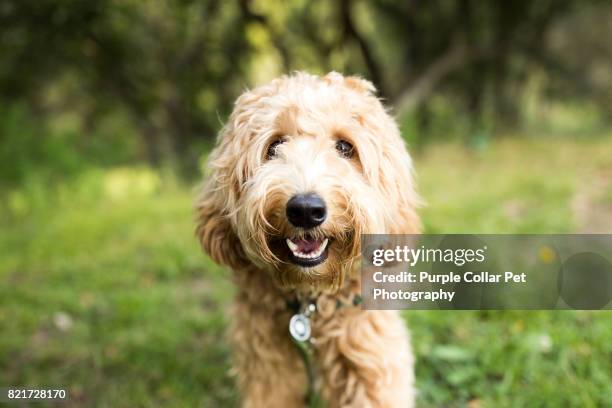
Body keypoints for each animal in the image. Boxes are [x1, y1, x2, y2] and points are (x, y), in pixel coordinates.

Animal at [196, 71, 420, 406]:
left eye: (345, 147)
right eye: (275, 145)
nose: (305, 210)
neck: (311, 304)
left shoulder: (370, 357)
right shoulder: (267, 367)